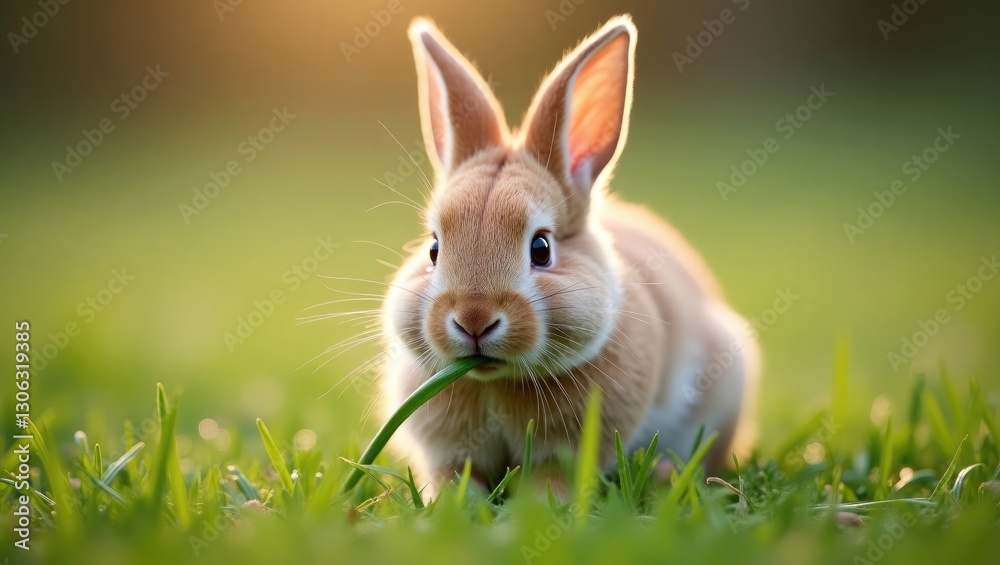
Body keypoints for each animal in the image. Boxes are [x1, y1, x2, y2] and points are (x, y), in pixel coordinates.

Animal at [379, 14, 759, 498]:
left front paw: (537, 505)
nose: (473, 320)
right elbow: (453, 477)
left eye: (541, 249)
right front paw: (450, 504)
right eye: (433, 248)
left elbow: (553, 481)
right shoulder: (448, 452)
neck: (497, 381)